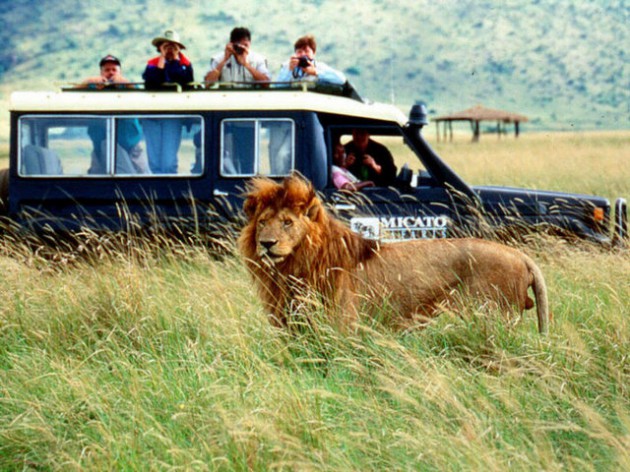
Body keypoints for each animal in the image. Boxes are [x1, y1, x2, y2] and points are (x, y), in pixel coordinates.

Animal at [239, 175, 552, 334]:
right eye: (262, 222)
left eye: (287, 222)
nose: (266, 243)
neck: (295, 265)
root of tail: (521, 256)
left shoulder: (344, 325)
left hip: (493, 318)